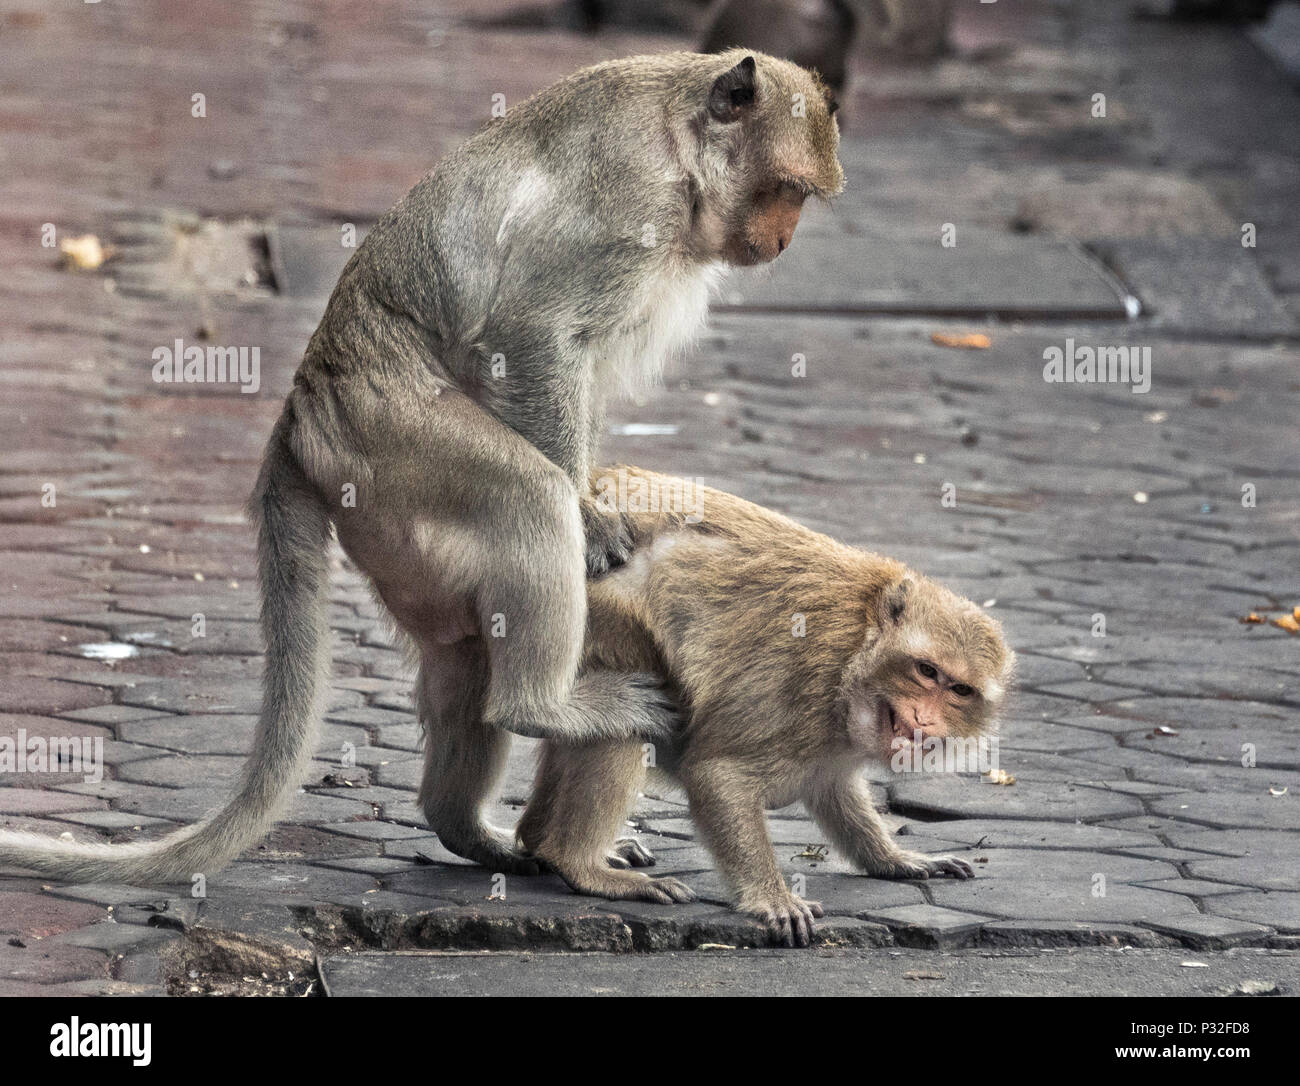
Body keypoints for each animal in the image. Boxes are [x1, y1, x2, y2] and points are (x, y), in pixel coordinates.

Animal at [0, 51, 842, 889]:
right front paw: (587, 510)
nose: (781, 240)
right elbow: (531, 333)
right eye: (785, 190)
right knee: (525, 498)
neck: (682, 137)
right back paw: (543, 704)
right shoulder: (627, 205)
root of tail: (304, 405)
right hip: (392, 440)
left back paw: (468, 826)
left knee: (464, 649)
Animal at [517, 463, 1013, 946]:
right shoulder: (801, 686)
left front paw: (894, 858)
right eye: (926, 670)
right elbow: (717, 775)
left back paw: (537, 840)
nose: (924, 718)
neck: (858, 651)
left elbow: (831, 787)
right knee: (628, 717)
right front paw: (772, 898)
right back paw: (579, 865)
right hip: (579, 610)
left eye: (960, 691)